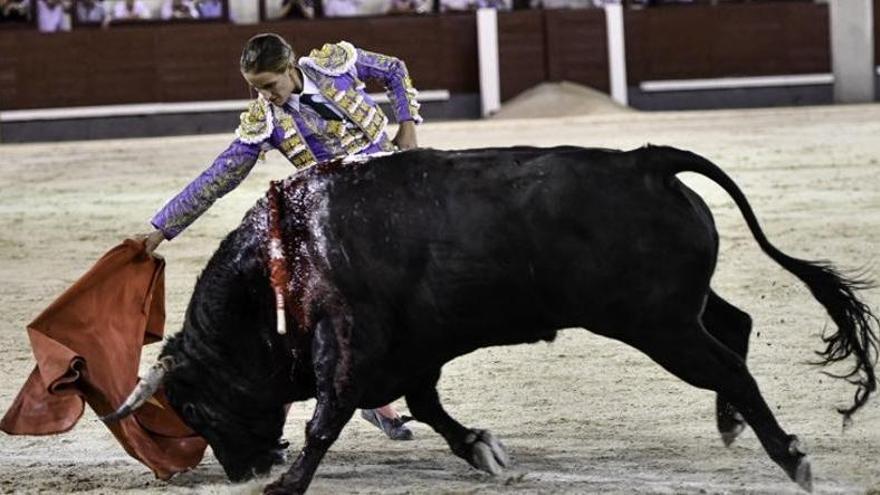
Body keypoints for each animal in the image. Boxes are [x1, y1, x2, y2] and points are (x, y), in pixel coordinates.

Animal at [108, 145, 872, 494]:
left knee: (731, 365)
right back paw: (733, 427)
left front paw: (289, 482)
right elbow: (426, 405)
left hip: (659, 325)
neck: (283, 254)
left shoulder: (352, 345)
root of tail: (647, 160)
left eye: (195, 407)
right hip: (679, 310)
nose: (243, 469)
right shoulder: (415, 350)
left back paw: (791, 455)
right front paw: (483, 449)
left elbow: (329, 414)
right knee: (735, 328)